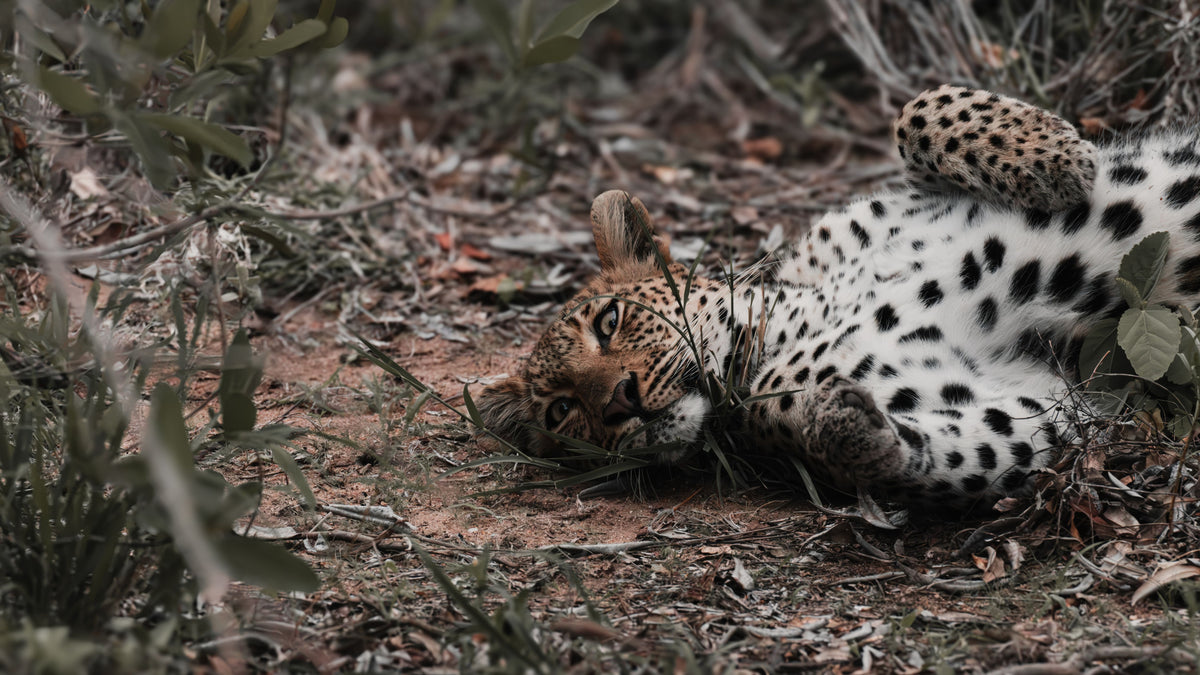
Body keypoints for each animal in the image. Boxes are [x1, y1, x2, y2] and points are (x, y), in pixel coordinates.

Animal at [475, 84, 1200, 509]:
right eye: (563, 412)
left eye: (610, 320)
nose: (619, 402)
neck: (781, 323)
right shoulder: (1040, 395)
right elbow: (987, 446)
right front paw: (850, 429)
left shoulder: (890, 205)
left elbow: (919, 111)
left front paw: (1053, 157)